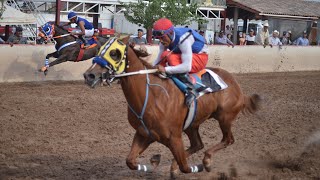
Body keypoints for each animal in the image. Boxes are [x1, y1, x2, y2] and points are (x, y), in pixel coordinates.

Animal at [83, 36, 262, 177]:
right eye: (99, 50)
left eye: (114, 53)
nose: (89, 75)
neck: (153, 96)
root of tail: (237, 86)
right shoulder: (144, 133)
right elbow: (130, 161)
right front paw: (154, 162)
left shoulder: (174, 137)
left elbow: (185, 167)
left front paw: (196, 166)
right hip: (192, 125)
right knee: (198, 144)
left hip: (225, 117)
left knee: (227, 140)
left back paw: (207, 160)